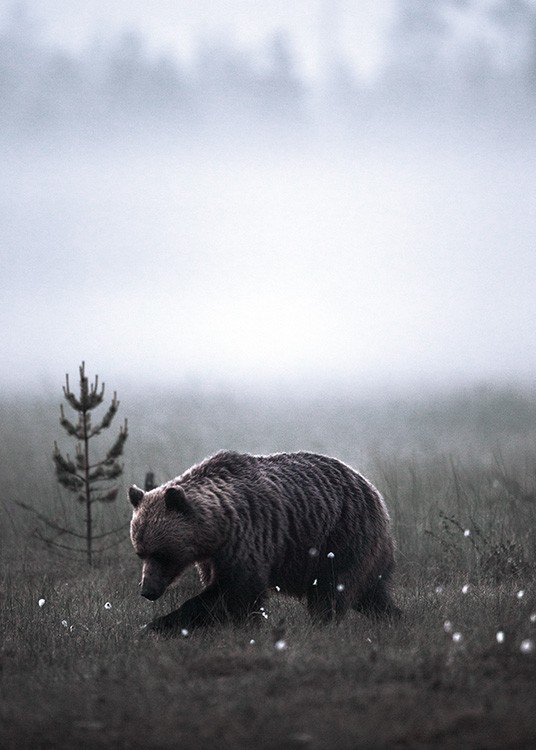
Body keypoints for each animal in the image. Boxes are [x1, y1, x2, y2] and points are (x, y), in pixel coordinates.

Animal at [128, 450, 400, 634]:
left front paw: (159, 624)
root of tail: (375, 492)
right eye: (140, 552)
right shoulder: (212, 557)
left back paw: (321, 625)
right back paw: (395, 617)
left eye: (163, 554)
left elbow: (236, 591)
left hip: (340, 539)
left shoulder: (247, 537)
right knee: (371, 593)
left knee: (331, 590)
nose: (147, 591)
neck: (217, 529)